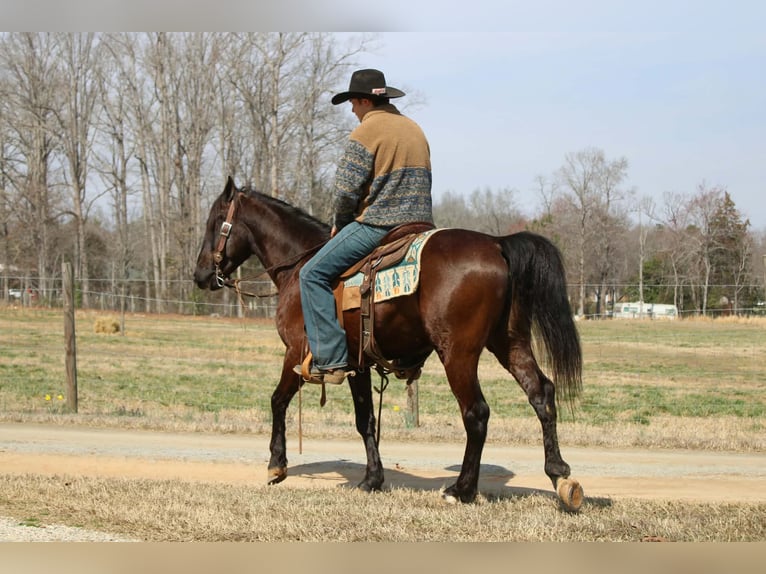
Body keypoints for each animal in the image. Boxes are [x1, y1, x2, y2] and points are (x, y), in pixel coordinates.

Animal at [194, 177, 584, 511]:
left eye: (215, 222)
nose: (199, 275)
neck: (299, 265)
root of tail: (497, 244)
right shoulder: (358, 364)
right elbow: (365, 419)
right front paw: (372, 479)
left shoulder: (297, 353)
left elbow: (278, 401)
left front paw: (277, 465)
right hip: (509, 343)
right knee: (541, 394)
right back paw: (559, 475)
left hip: (458, 353)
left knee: (476, 413)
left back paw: (462, 489)